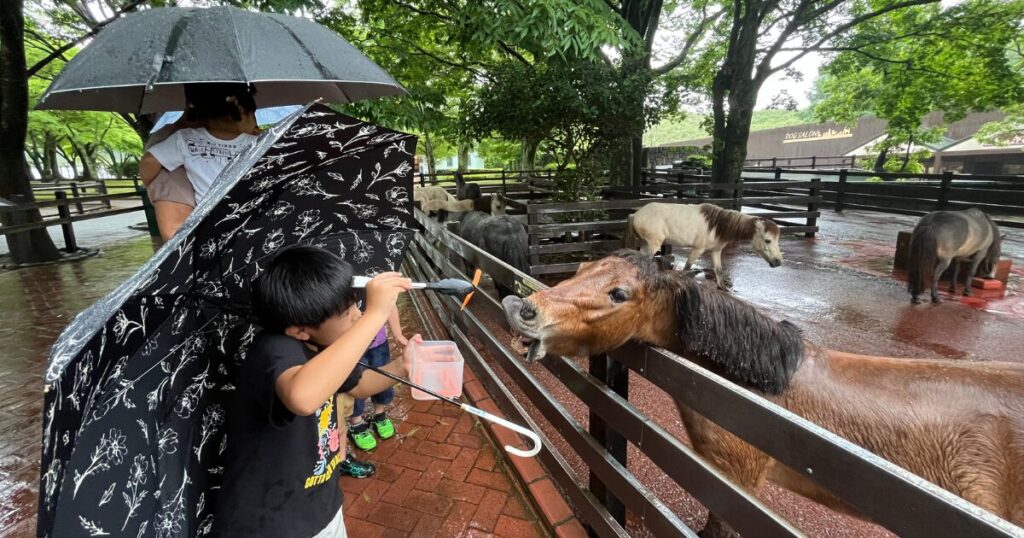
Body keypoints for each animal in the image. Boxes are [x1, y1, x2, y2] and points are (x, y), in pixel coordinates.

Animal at [622, 200, 782, 284]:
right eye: (768, 240)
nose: (778, 261)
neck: (717, 226)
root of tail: (635, 214)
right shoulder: (697, 249)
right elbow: (687, 268)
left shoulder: (716, 251)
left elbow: (718, 271)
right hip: (653, 244)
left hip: (645, 244)